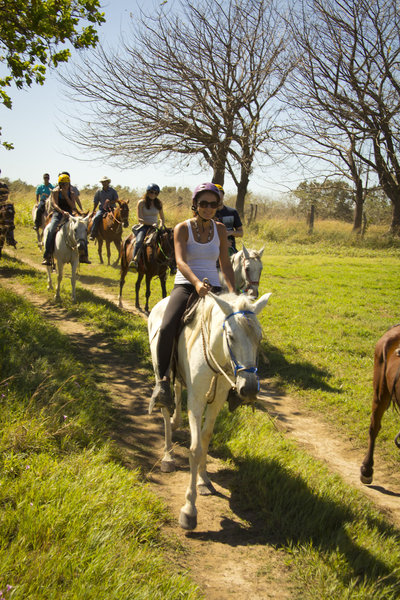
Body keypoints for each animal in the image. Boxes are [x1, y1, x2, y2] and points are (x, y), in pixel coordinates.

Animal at [148, 290, 272, 528]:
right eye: (230, 336)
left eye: (259, 338)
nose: (250, 388)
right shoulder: (196, 400)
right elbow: (195, 449)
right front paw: (189, 509)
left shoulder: (217, 400)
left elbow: (206, 438)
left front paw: (204, 480)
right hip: (160, 369)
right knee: (165, 409)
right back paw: (168, 456)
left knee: (177, 389)